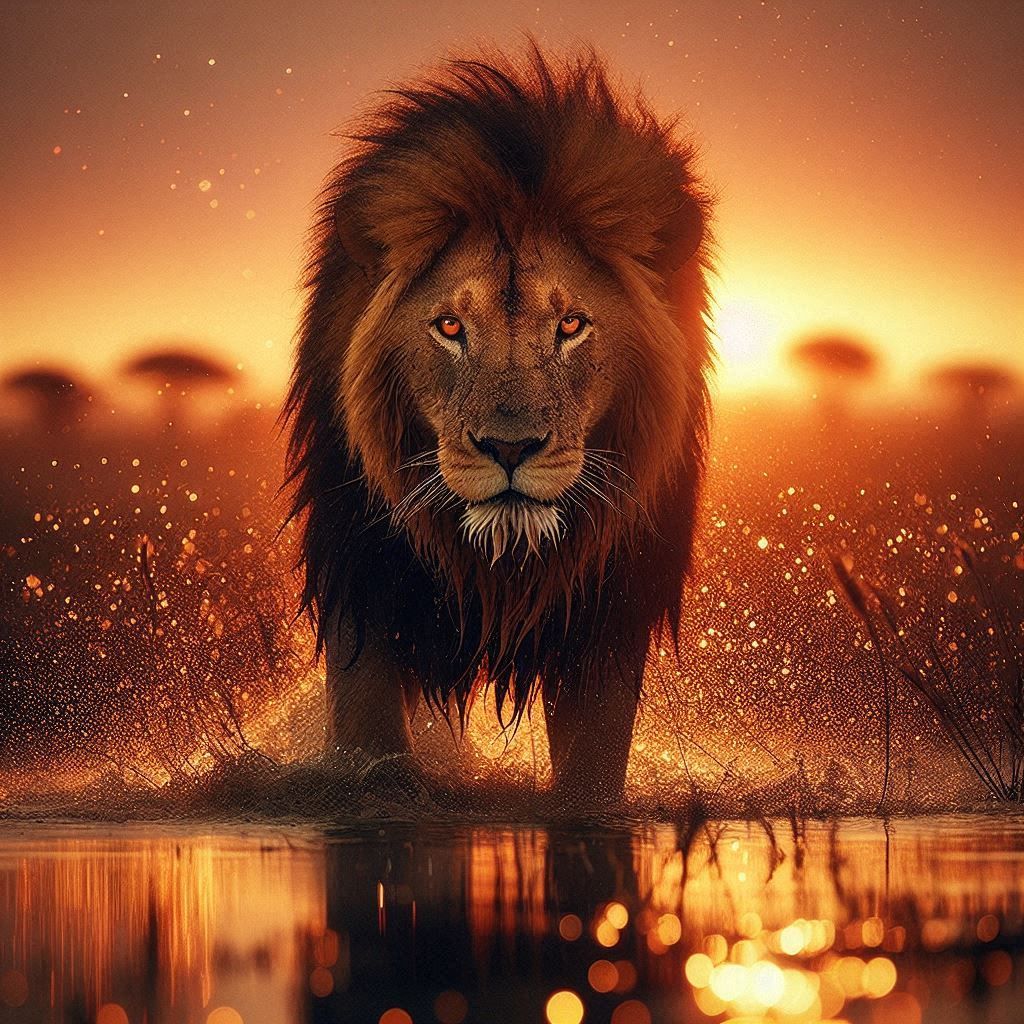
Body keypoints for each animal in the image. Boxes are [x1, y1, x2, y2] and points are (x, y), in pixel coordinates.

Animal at [285, 44, 713, 804]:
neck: (500, 569)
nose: (509, 449)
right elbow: (372, 746)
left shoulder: (609, 612)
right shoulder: (361, 583)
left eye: (570, 325)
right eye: (451, 327)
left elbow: (592, 776)